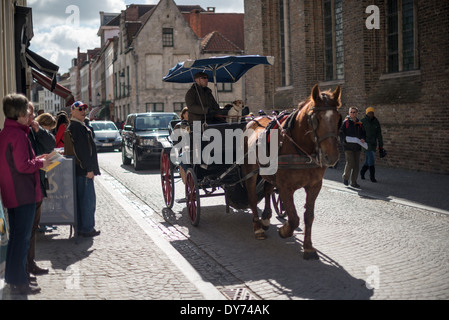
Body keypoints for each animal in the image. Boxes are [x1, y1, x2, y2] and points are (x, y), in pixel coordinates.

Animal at [243, 84, 342, 258]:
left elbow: (309, 216)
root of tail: (252, 121)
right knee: (253, 197)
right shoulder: (285, 187)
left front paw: (308, 247)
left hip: (268, 173)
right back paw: (258, 228)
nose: (331, 156)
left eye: (338, 119)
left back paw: (266, 218)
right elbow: (294, 218)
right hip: (250, 172)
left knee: (268, 189)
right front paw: (285, 230)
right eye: (316, 119)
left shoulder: (314, 186)